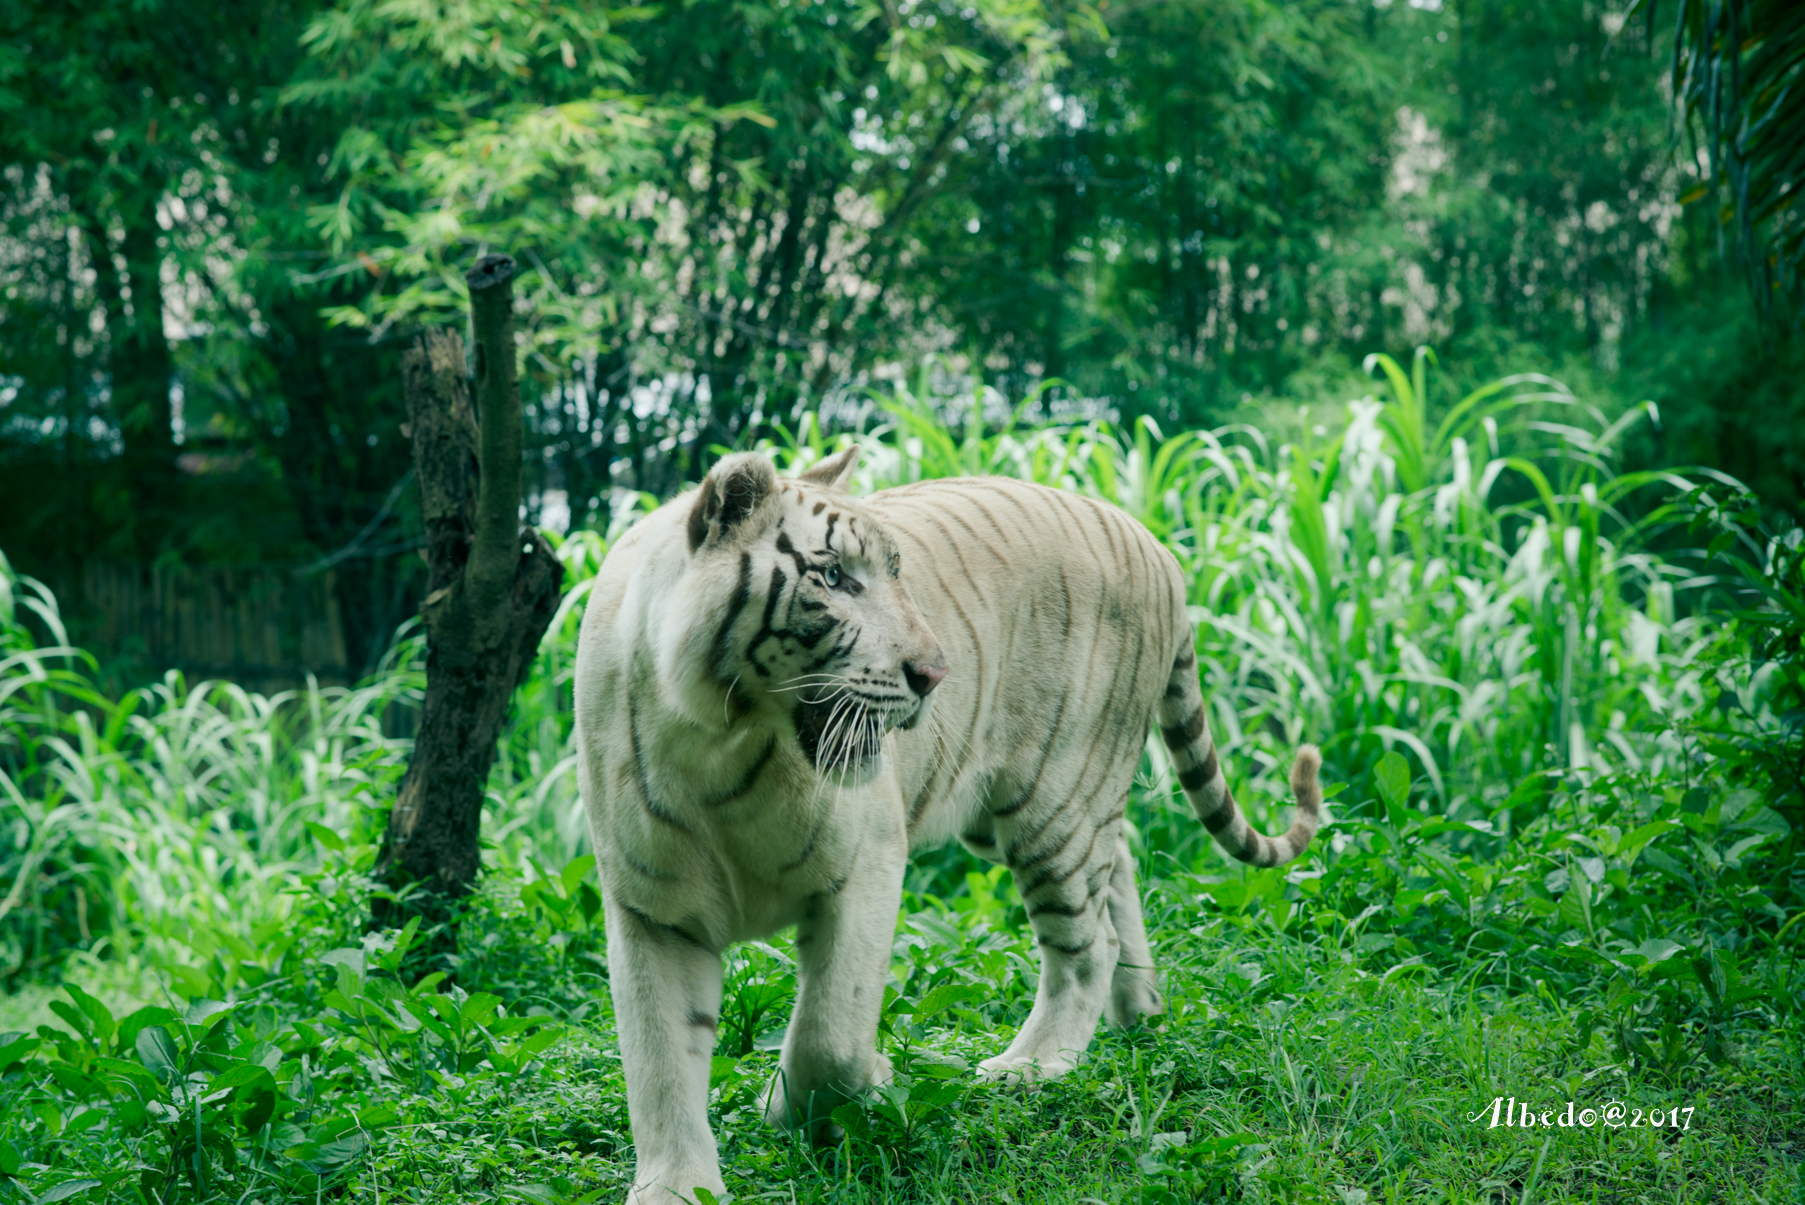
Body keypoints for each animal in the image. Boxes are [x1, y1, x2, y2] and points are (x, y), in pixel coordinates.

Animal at [570, 447, 1321, 1197]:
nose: (934, 673)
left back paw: (1029, 1066)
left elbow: (828, 1034)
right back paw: (1141, 1014)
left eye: (897, 573)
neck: (716, 738)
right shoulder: (652, 912)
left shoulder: (867, 864)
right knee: (1120, 866)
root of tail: (1157, 545)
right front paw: (675, 1188)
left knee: (1088, 944)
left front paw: (835, 1091)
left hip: (1051, 798)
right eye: (834, 578)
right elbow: (659, 1063)